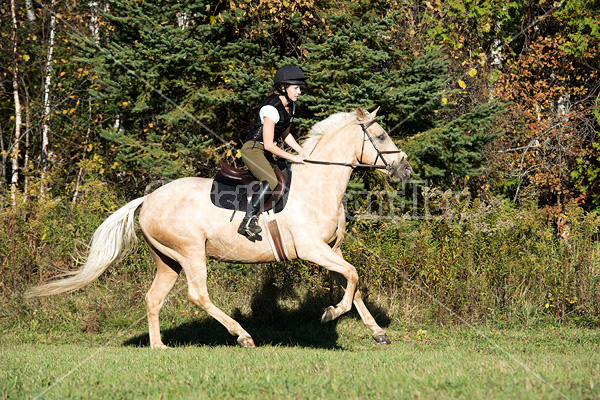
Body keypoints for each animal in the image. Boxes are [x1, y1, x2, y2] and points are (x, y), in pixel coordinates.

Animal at [28, 108, 412, 348]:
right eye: (380, 136)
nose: (405, 169)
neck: (319, 182)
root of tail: (147, 199)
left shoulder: (330, 249)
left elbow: (353, 284)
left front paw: (378, 333)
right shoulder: (313, 250)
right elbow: (353, 276)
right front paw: (330, 313)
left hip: (167, 260)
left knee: (154, 297)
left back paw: (159, 346)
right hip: (190, 252)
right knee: (198, 295)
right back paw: (242, 336)